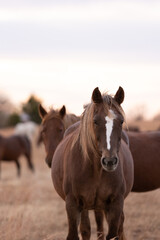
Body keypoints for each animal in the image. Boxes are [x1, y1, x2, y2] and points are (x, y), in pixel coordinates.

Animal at [51, 86, 134, 240]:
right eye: (95, 121)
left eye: (121, 121)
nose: (109, 161)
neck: (96, 170)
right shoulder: (72, 204)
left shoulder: (116, 204)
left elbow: (112, 234)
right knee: (86, 229)